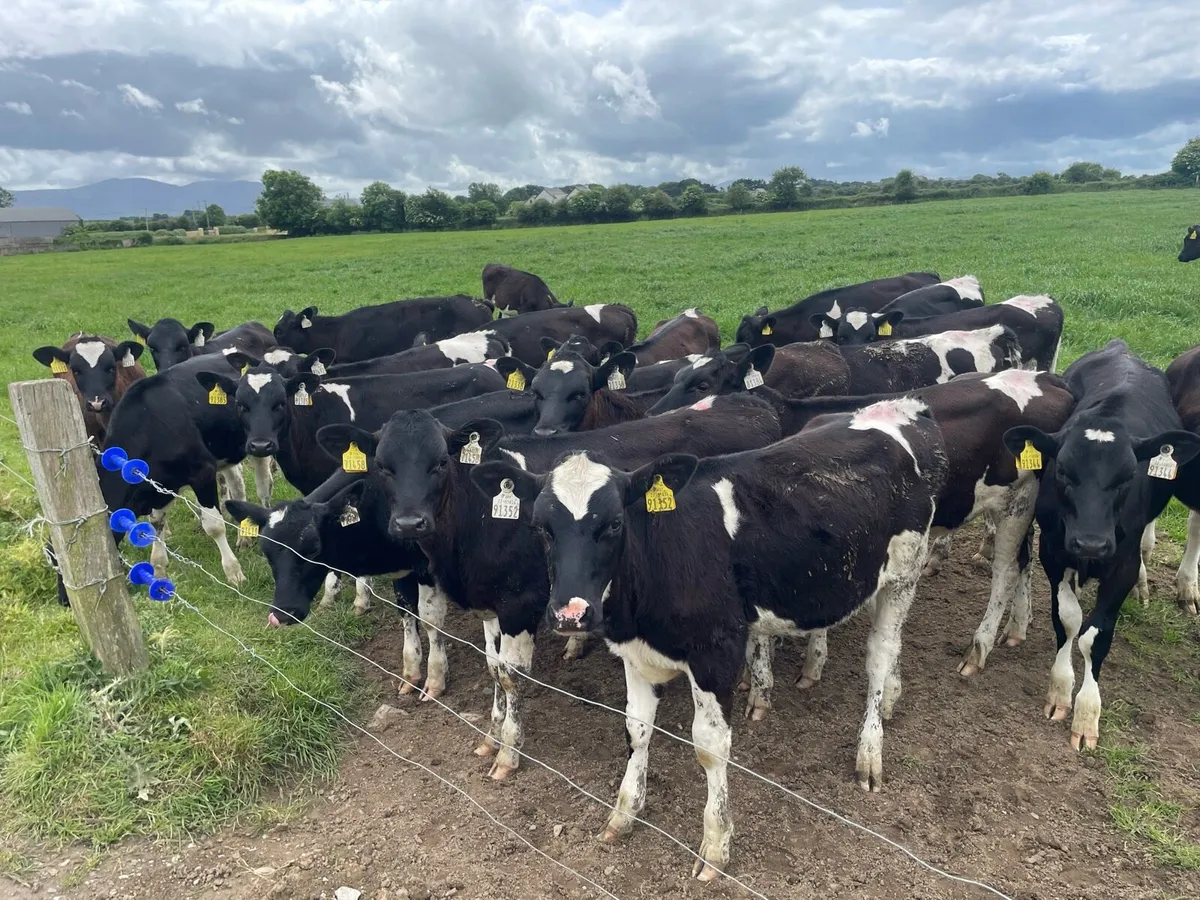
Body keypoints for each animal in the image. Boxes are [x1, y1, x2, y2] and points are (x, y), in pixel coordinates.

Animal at [472, 396, 947, 878]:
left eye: (614, 524)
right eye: (541, 527)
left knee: (881, 654)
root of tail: (899, 407)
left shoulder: (715, 653)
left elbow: (710, 748)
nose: (571, 614)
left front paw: (716, 846)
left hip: (904, 574)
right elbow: (636, 728)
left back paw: (870, 749)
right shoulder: (634, 652)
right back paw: (889, 698)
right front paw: (624, 813)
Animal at [1002, 340, 1200, 750]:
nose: (1090, 544)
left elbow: (1095, 636)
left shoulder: (1120, 563)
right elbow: (1068, 620)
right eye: (1063, 471)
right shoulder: (1054, 551)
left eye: (1127, 476)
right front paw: (1061, 691)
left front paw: (1087, 712)